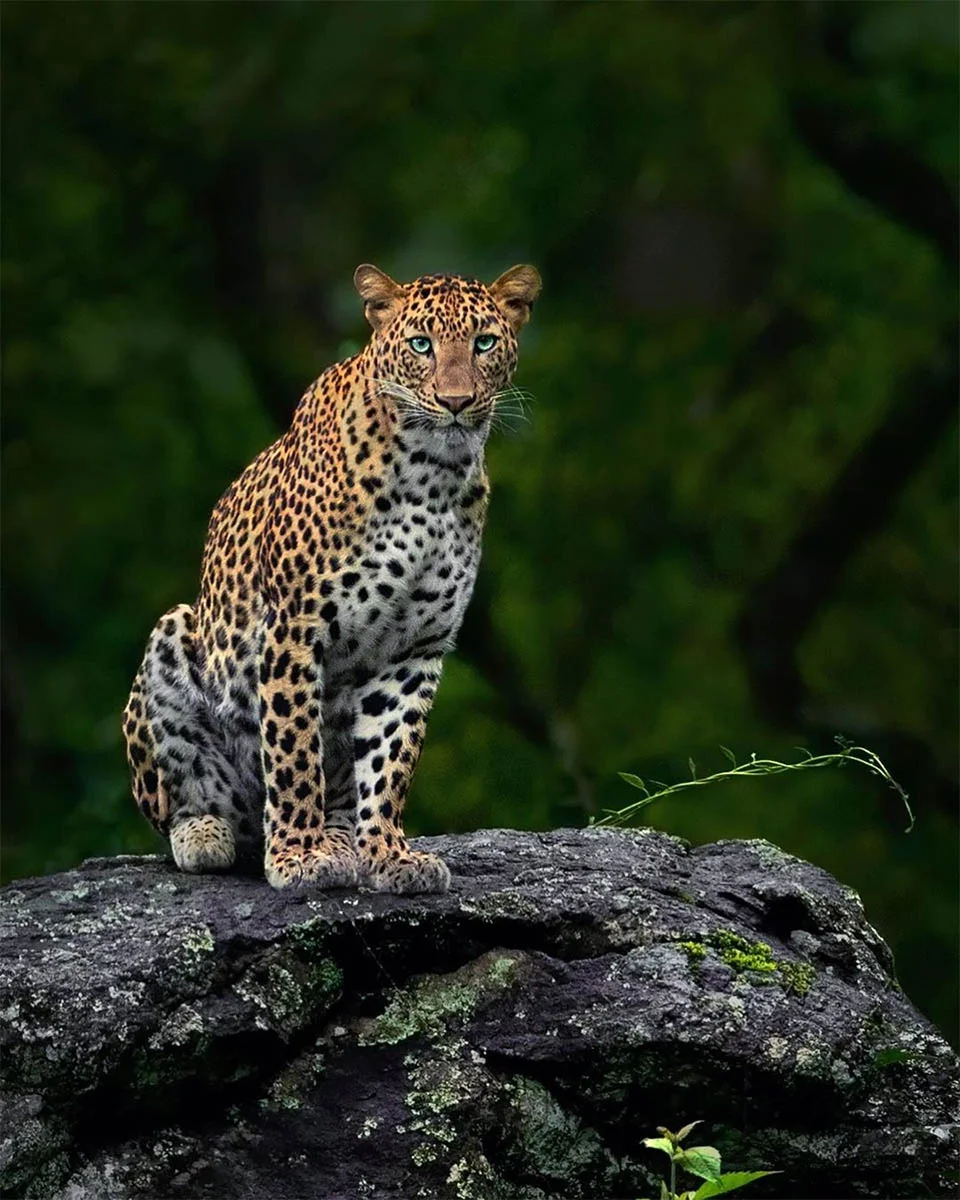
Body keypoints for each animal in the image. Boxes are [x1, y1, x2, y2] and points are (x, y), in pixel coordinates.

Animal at [122, 262, 541, 893]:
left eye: (485, 343)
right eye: (422, 345)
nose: (456, 401)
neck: (433, 474)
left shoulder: (414, 652)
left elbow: (391, 760)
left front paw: (389, 855)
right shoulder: (294, 630)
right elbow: (294, 752)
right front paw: (299, 856)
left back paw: (342, 839)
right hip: (175, 637)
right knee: (189, 798)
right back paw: (209, 834)